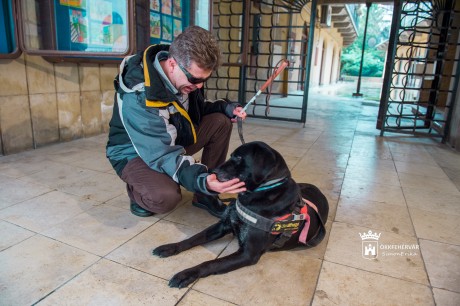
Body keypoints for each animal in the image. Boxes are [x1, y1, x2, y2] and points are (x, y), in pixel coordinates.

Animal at [153, 140, 328, 288]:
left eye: (238, 157)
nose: (211, 172)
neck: (260, 193)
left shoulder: (248, 254)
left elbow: (210, 263)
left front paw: (186, 274)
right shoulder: (223, 225)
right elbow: (193, 238)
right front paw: (171, 247)